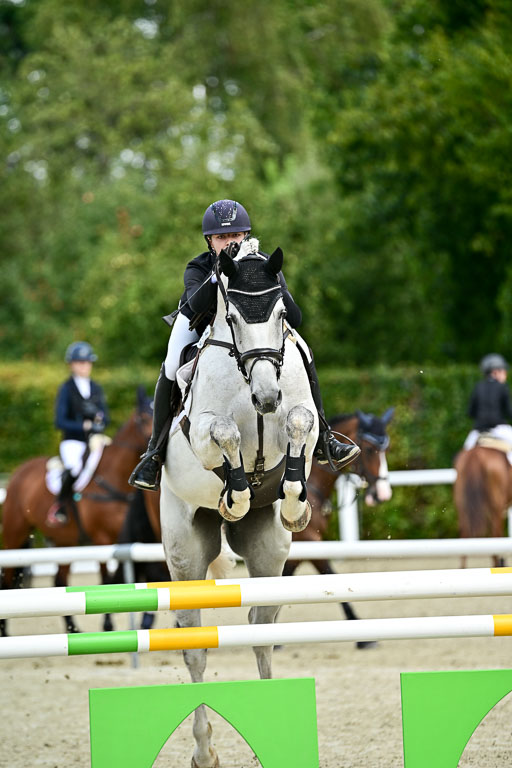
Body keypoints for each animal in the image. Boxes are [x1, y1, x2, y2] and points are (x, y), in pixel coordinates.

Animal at [0, 387, 153, 636]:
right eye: (142, 417)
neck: (111, 478)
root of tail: (20, 471)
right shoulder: (101, 539)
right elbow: (106, 580)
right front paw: (108, 626)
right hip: (16, 533)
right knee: (8, 577)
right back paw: (5, 632)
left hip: (65, 541)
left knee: (59, 580)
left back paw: (73, 629)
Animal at [160, 240, 319, 768]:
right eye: (231, 314)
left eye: (279, 312)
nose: (266, 395)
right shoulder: (205, 434)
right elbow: (225, 433)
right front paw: (238, 493)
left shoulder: (302, 419)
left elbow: (299, 422)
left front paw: (294, 503)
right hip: (185, 551)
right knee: (194, 645)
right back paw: (204, 751)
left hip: (268, 552)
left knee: (260, 632)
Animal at [284, 409, 394, 648]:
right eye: (370, 450)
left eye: (386, 450)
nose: (383, 494)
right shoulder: (310, 542)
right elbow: (330, 576)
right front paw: (361, 635)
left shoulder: (299, 550)